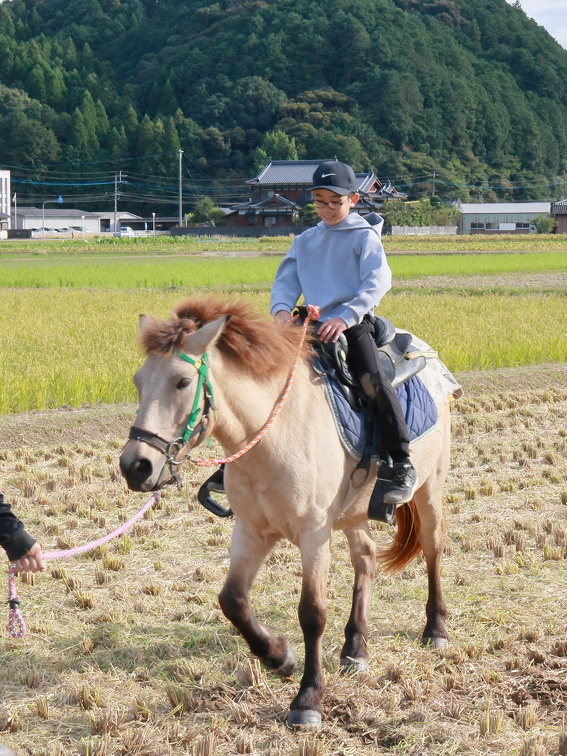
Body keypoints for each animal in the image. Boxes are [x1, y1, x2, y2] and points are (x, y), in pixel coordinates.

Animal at [119, 296, 453, 727]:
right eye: (138, 381)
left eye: (182, 382)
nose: (135, 466)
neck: (270, 438)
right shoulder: (251, 530)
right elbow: (232, 600)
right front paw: (279, 658)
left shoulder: (314, 533)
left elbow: (312, 613)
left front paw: (308, 699)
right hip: (352, 513)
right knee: (365, 558)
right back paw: (355, 648)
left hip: (429, 489)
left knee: (432, 549)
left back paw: (435, 628)